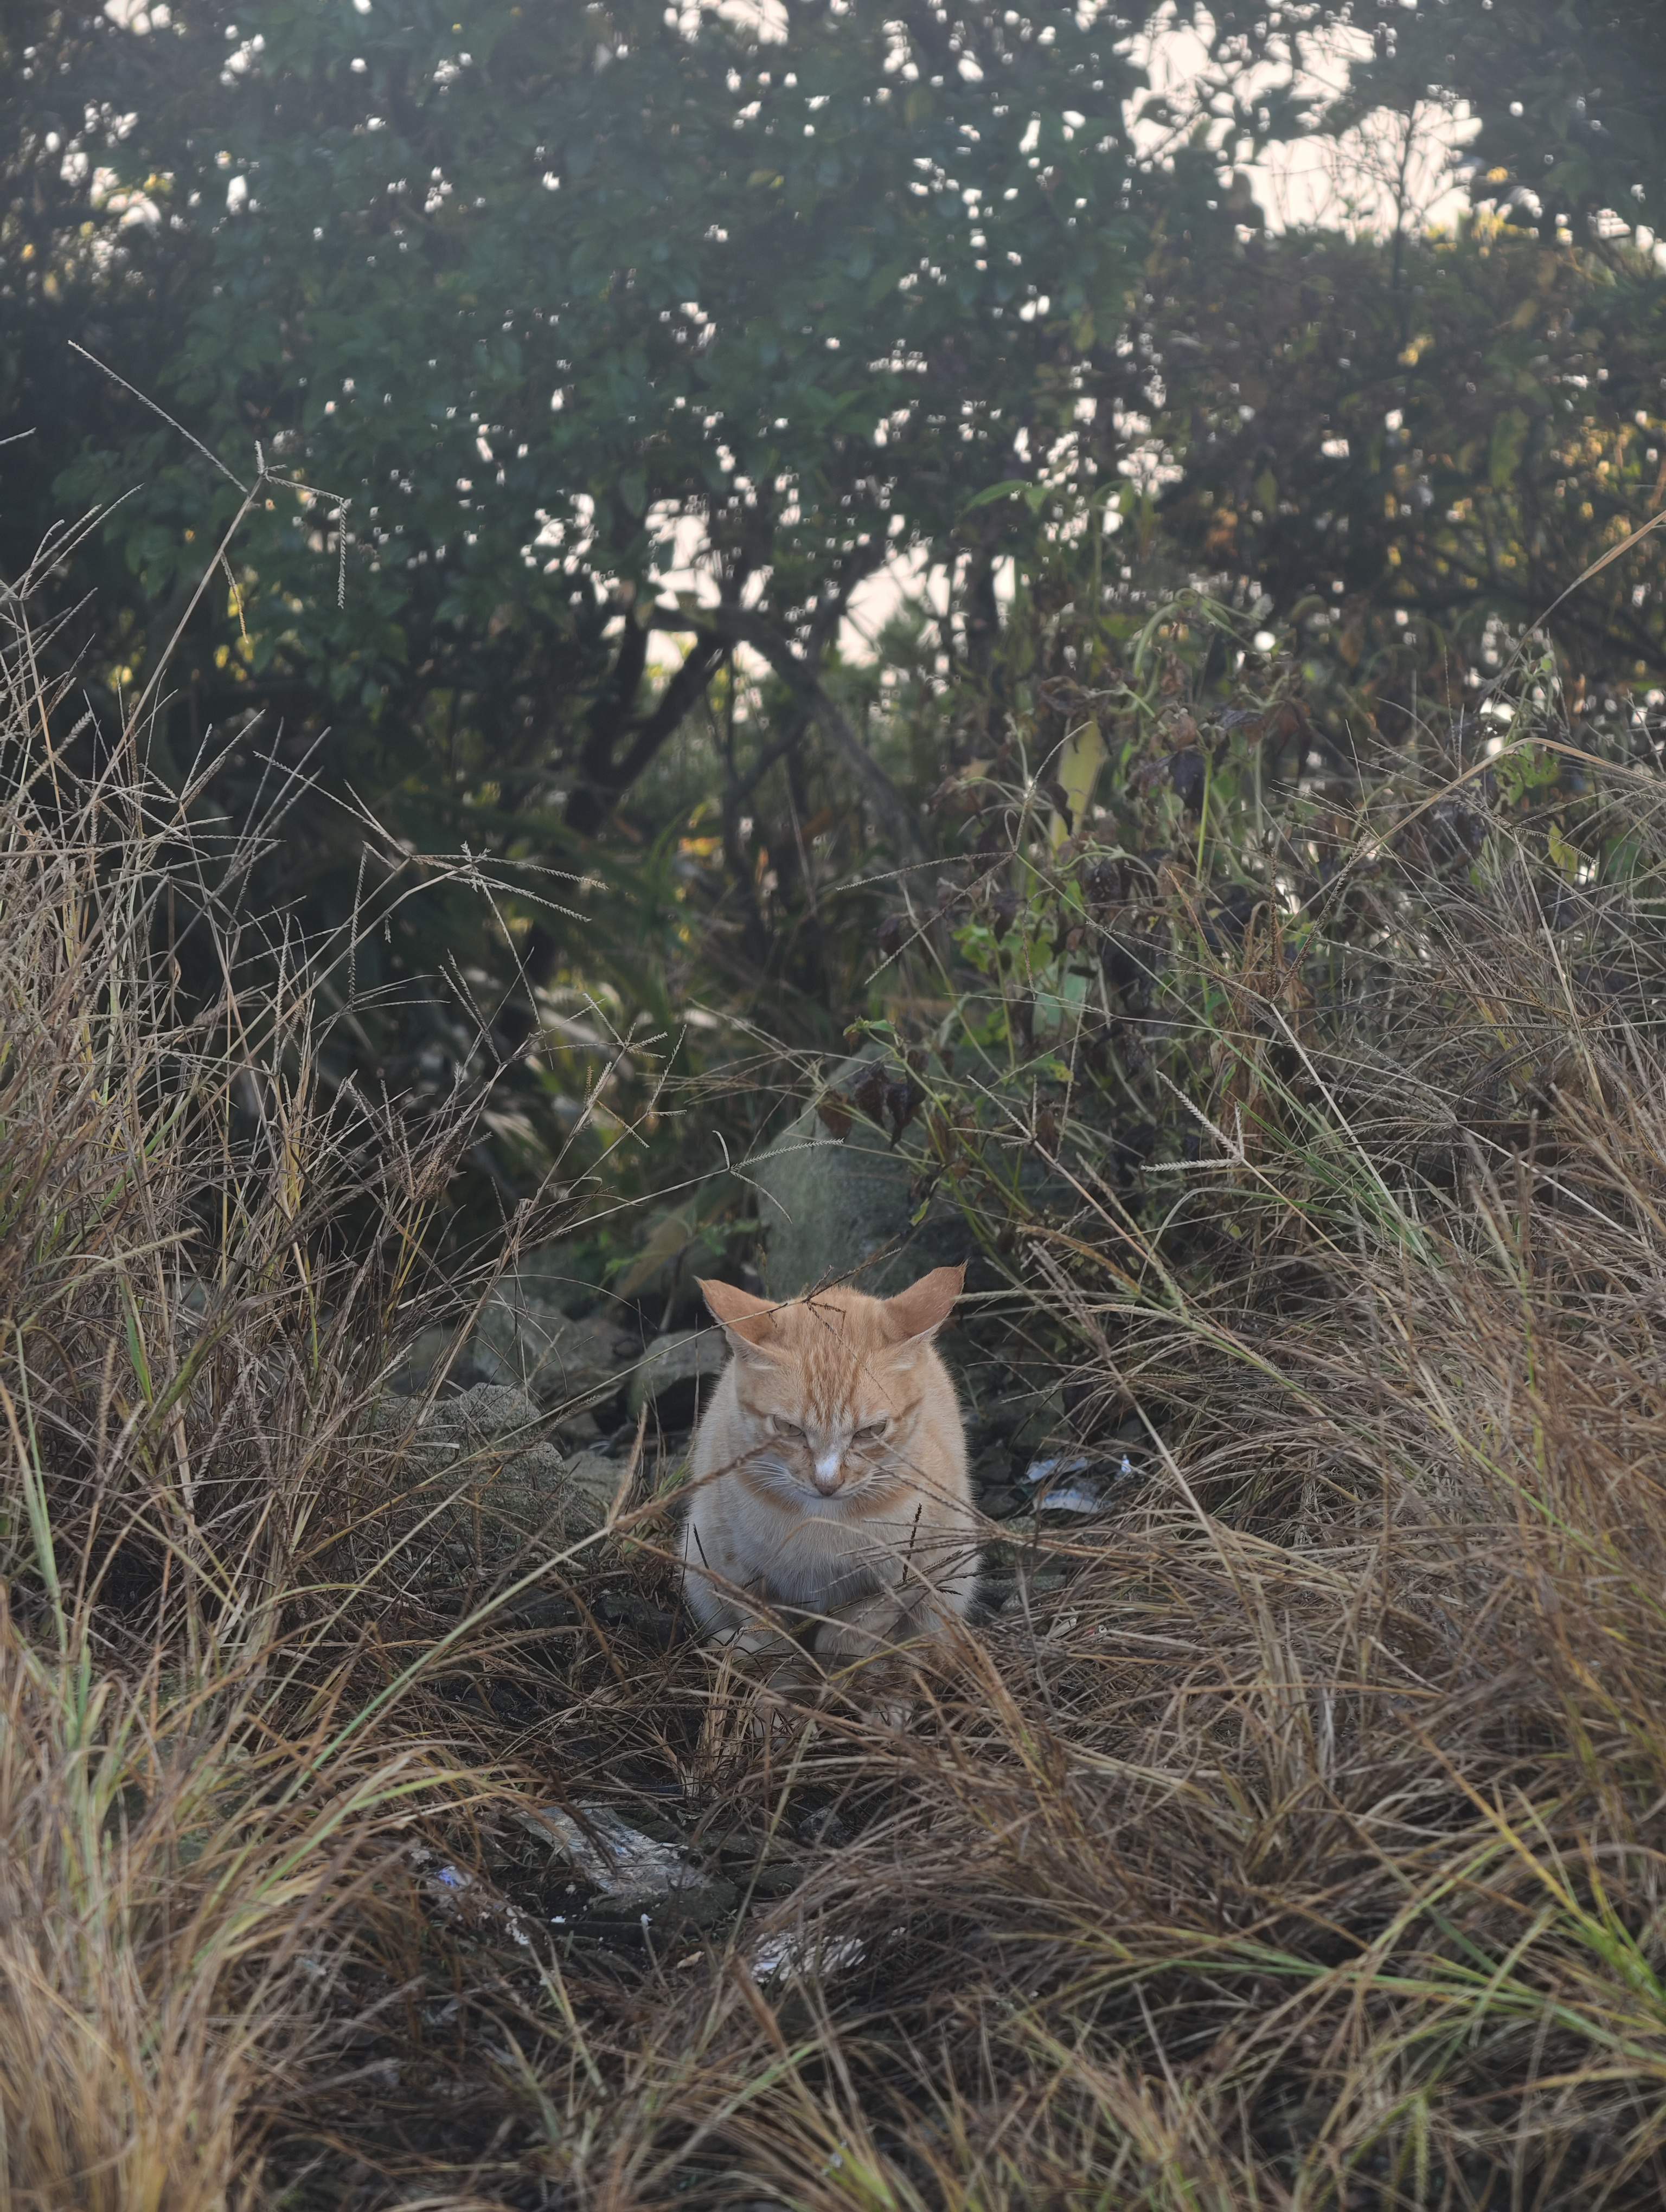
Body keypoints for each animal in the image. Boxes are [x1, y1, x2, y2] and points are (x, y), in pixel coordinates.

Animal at [677, 1265, 973, 1690]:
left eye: (871, 1431)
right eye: (788, 1428)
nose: (827, 1483)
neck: (823, 1524)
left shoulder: (915, 1568)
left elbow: (856, 1630)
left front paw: (838, 1667)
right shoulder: (734, 1568)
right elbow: (769, 1636)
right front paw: (781, 1682)